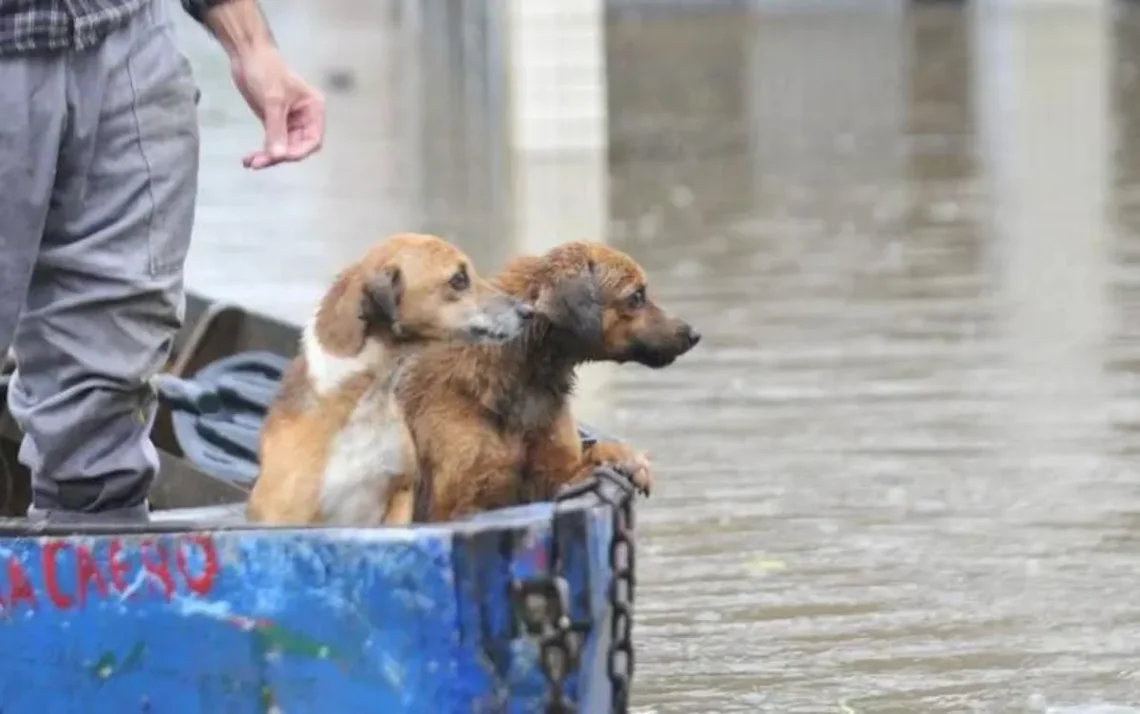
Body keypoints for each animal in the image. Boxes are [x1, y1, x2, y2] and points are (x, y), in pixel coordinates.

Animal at [396, 237, 697, 517]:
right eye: (635, 297)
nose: (693, 334)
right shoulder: (457, 503)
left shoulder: (553, 473)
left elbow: (589, 460)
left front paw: (628, 460)